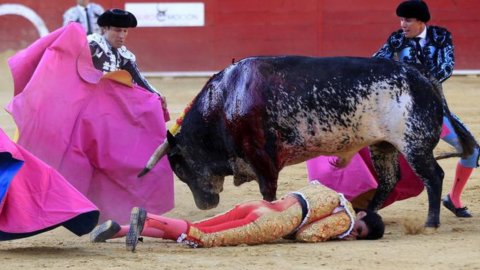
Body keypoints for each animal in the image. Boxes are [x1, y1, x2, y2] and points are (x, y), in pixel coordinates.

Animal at [139, 56, 476, 228]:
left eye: (179, 167)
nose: (205, 204)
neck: (226, 100)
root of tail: (423, 76)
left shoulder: (261, 155)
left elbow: (268, 191)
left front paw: (271, 212)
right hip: (384, 145)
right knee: (389, 180)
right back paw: (367, 214)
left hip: (413, 144)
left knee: (434, 176)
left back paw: (431, 221)